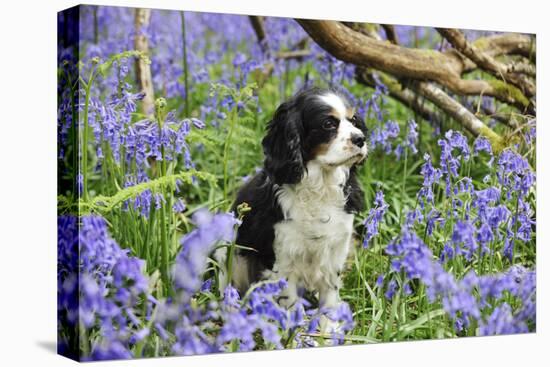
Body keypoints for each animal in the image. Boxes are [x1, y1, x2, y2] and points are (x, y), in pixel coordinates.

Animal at [218, 87, 368, 316]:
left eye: (353, 120)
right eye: (328, 124)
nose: (361, 138)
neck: (319, 186)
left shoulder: (336, 248)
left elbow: (330, 293)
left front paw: (329, 323)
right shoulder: (284, 256)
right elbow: (288, 298)